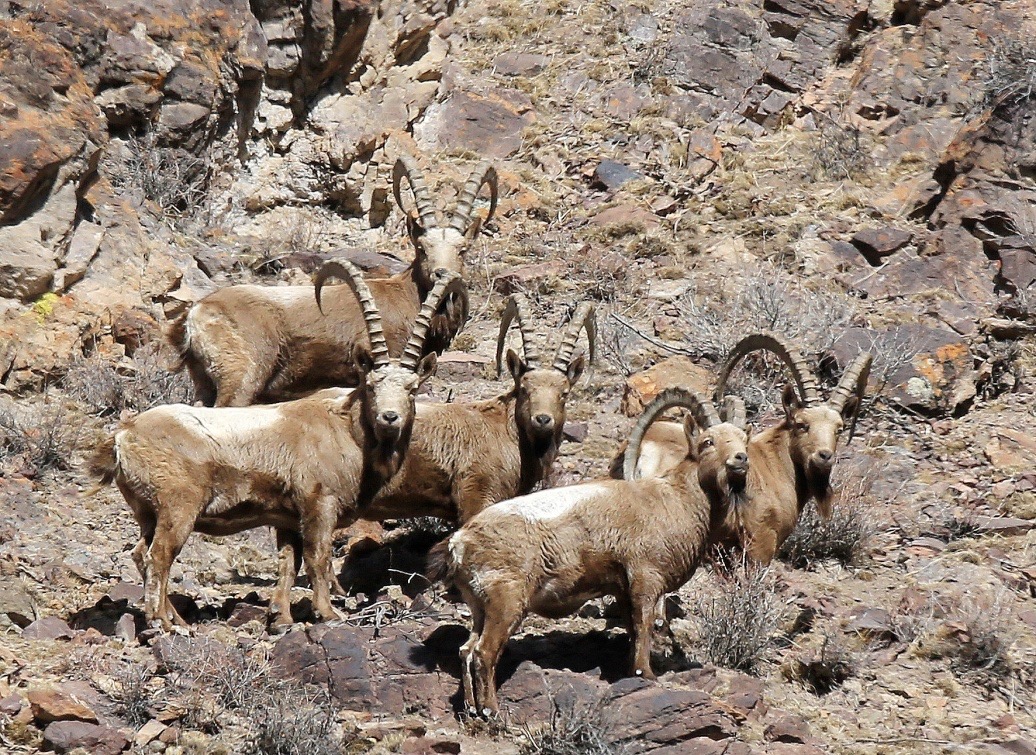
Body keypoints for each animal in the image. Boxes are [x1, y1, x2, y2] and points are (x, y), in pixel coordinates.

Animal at [93, 262, 462, 625]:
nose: (389, 417)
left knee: (140, 553)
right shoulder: (318, 505)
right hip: (178, 508)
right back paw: (163, 622)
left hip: (146, 512)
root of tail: (124, 437)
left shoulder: (286, 517)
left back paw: (175, 618)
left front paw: (281, 616)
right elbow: (317, 558)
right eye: (370, 385)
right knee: (158, 556)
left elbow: (288, 562)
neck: (345, 430)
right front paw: (327, 612)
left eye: (412, 388)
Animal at [166, 154, 497, 410]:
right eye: (422, 247)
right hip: (242, 379)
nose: (443, 274)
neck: (407, 297)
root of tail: (195, 316)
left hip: (203, 381)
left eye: (462, 249)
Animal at [424, 389, 750, 712]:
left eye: (743, 438)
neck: (674, 499)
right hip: (505, 603)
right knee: (483, 652)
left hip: (479, 606)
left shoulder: (622, 588)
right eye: (708, 442)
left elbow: (632, 629)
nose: (741, 458)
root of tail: (460, 542)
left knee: (466, 650)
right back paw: (491, 711)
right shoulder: (645, 579)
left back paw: (471, 710)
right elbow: (644, 626)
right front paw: (646, 673)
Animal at [609, 333, 870, 563]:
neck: (775, 465)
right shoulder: (760, 542)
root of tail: (644, 449)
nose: (824, 456)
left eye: (839, 428)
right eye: (801, 424)